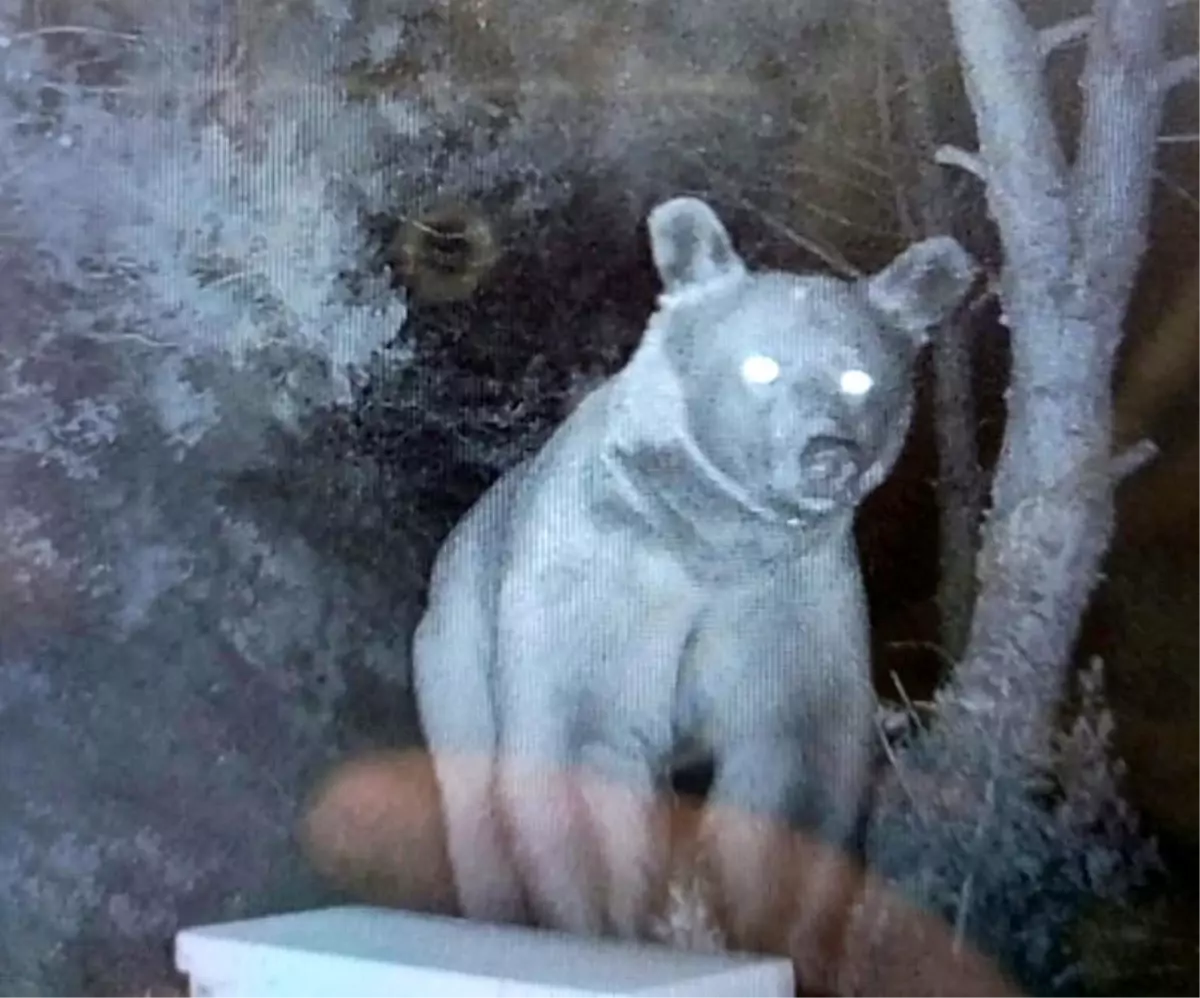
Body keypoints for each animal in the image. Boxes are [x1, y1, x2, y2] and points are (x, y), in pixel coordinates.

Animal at [411, 195, 977, 949]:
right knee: (471, 791)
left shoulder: (791, 598)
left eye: (859, 375)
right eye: (760, 365)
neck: (715, 537)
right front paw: (607, 918)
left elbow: (793, 751)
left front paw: (760, 923)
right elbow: (585, 740)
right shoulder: (603, 571)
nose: (827, 454)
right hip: (458, 645)